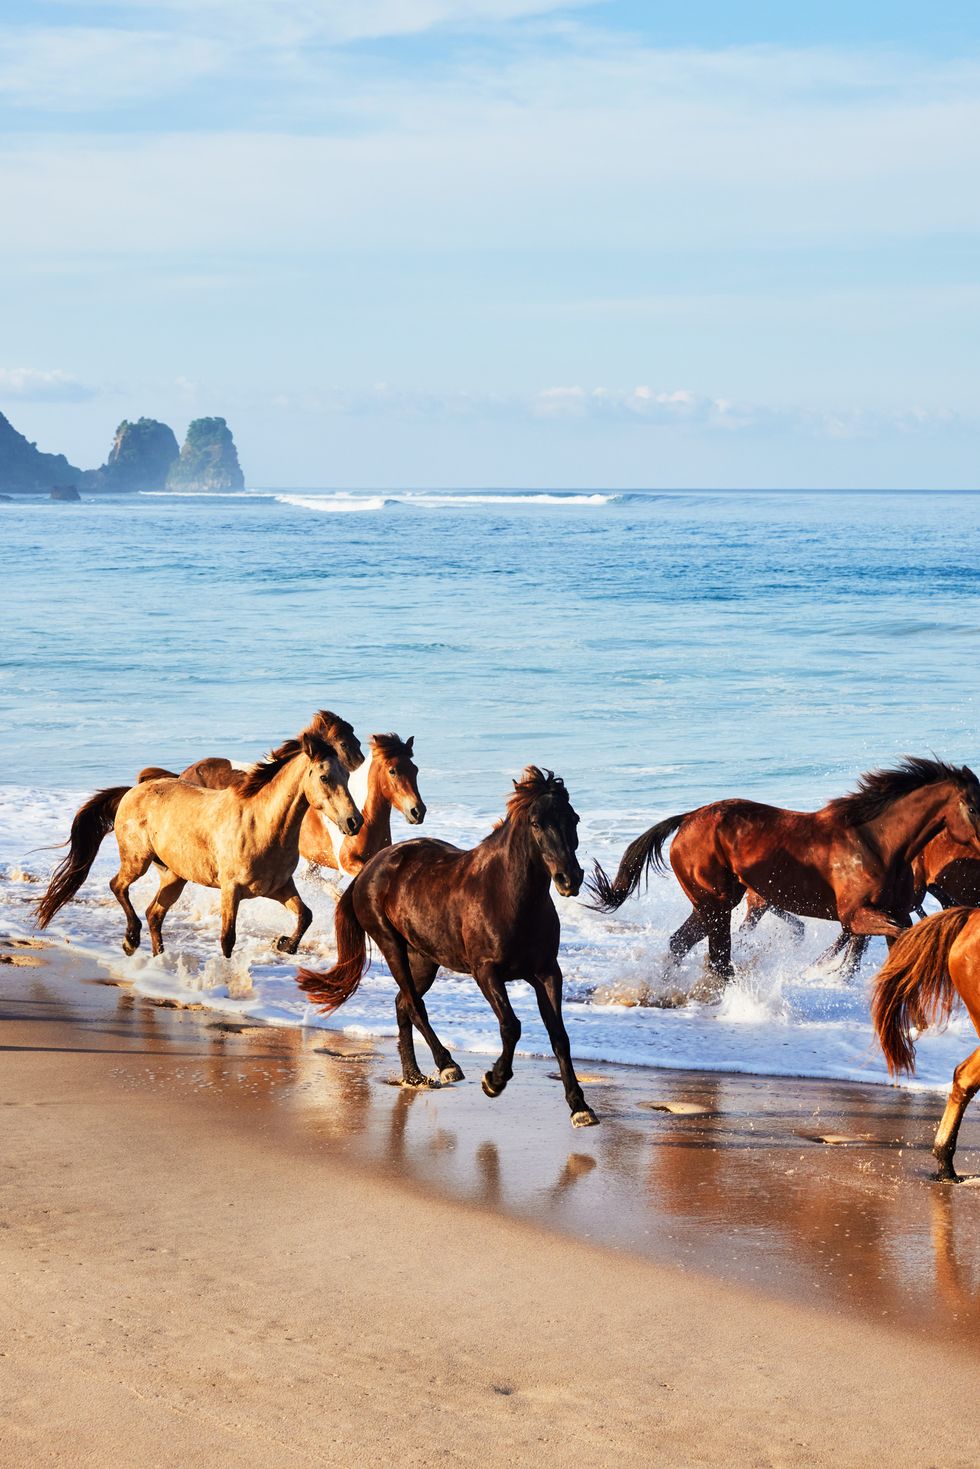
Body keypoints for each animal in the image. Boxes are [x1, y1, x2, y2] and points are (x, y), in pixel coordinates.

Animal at [34, 713, 365, 963]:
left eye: (347, 777)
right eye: (324, 777)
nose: (354, 822)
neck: (260, 825)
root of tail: (133, 790)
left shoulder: (280, 887)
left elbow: (306, 915)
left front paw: (283, 943)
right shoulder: (231, 890)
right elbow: (227, 938)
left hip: (174, 876)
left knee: (155, 912)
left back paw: (159, 960)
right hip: (137, 860)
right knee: (118, 886)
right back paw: (130, 940)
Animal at [295, 763, 599, 1128]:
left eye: (574, 819)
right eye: (537, 823)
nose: (570, 879)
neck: (507, 896)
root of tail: (371, 867)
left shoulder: (547, 973)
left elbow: (560, 1037)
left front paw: (580, 1107)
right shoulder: (486, 972)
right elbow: (511, 1026)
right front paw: (494, 1081)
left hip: (425, 959)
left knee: (402, 1004)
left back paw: (414, 1076)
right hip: (391, 945)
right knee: (414, 1005)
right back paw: (447, 1066)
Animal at [590, 758, 980, 987]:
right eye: (973, 807)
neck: (877, 844)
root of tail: (687, 819)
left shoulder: (895, 910)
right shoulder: (856, 916)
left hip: (713, 904)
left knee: (681, 944)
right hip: (717, 904)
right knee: (718, 959)